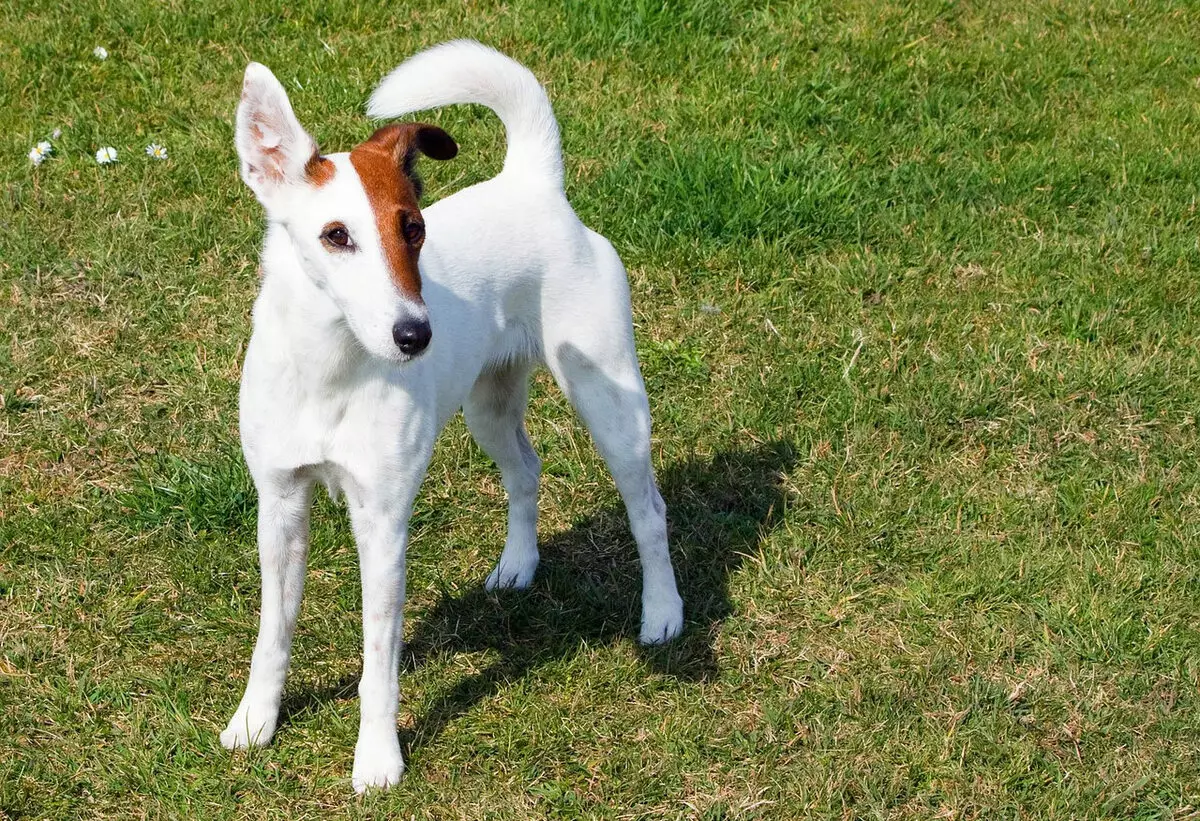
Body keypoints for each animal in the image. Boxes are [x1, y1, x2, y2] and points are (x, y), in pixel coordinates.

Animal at [218, 41, 686, 792]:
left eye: (414, 228)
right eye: (335, 236)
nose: (416, 335)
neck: (331, 367)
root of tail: (532, 183)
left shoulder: (381, 522)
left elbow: (378, 664)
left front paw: (378, 758)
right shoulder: (281, 504)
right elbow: (274, 633)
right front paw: (255, 721)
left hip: (611, 403)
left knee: (649, 511)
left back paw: (663, 614)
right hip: (488, 408)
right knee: (526, 469)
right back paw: (518, 565)